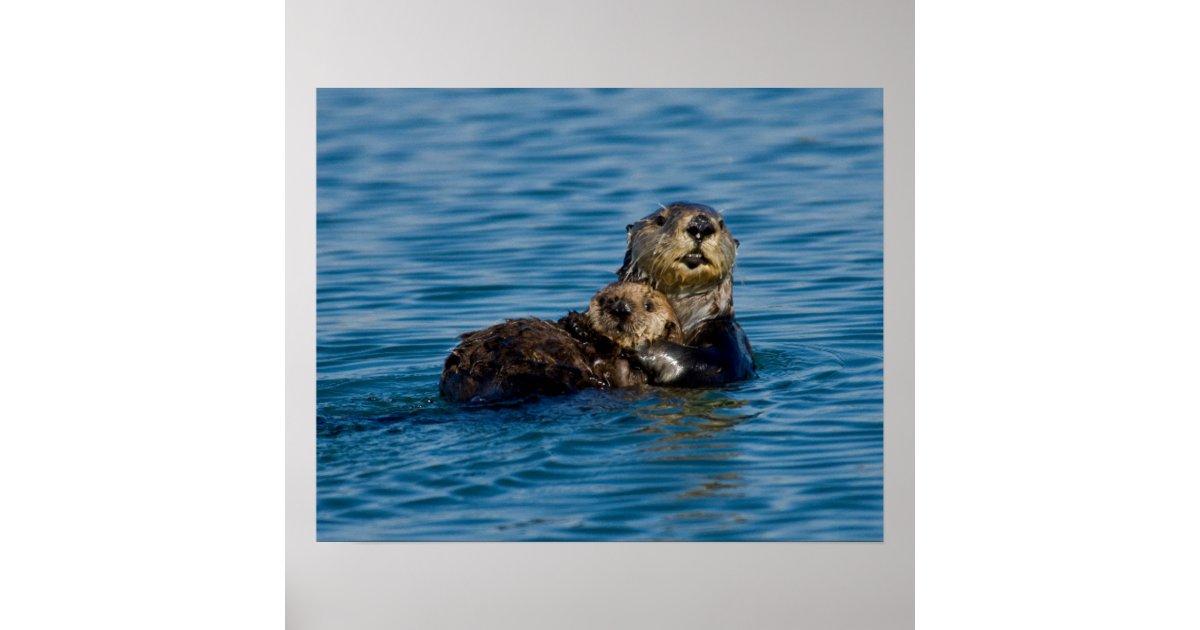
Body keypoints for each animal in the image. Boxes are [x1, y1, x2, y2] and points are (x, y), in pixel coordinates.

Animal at [439, 282, 682, 405]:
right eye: (605, 300)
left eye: (649, 305)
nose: (621, 308)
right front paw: (576, 322)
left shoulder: (629, 373)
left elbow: (618, 370)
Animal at [618, 201, 756, 387]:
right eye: (660, 220)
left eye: (721, 224)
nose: (701, 225)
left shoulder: (730, 338)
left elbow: (709, 364)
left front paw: (640, 344)